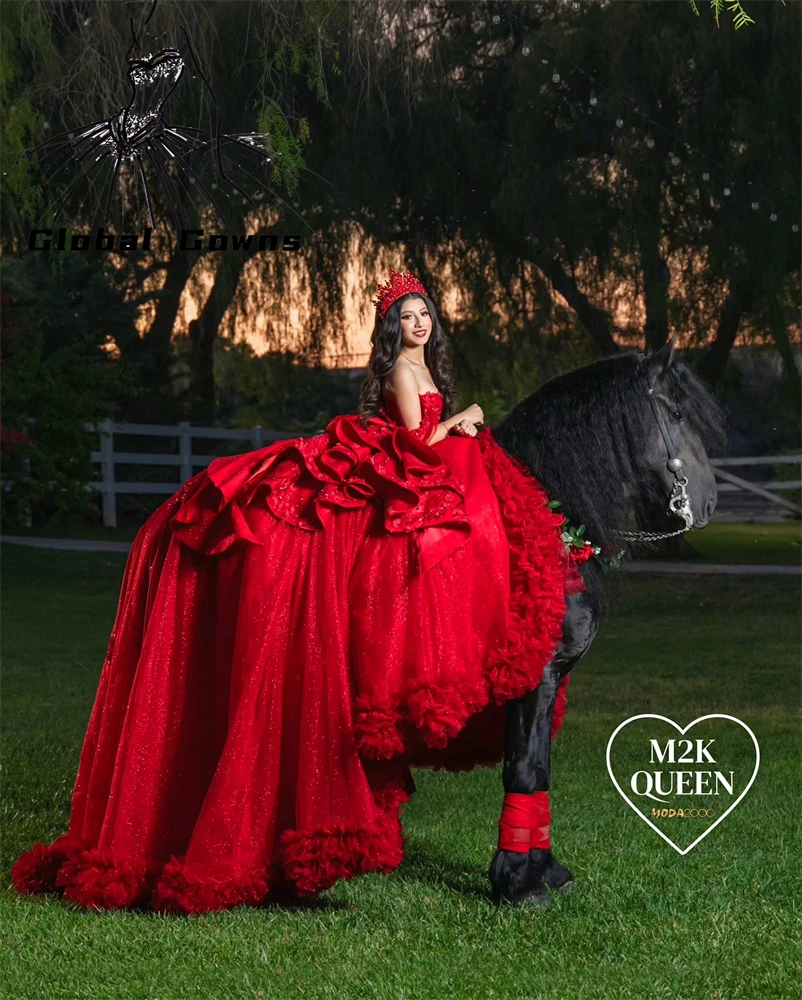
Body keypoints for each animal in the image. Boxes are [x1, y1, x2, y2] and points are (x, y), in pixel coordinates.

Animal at [484, 336, 720, 908]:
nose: (708, 502)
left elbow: (537, 765)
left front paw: (541, 870)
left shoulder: (547, 682)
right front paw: (518, 884)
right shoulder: (535, 677)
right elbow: (524, 769)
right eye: (676, 413)